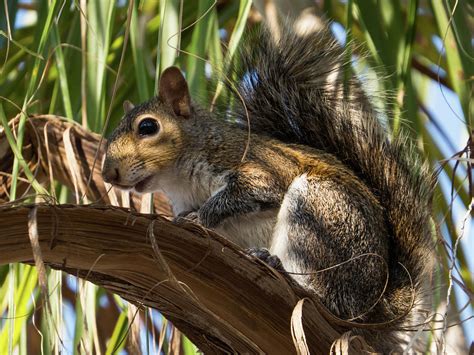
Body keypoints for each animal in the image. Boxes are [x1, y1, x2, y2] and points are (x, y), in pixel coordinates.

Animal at [102, 18, 436, 350]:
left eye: (148, 126)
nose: (108, 174)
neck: (181, 180)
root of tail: (374, 311)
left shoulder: (255, 166)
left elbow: (246, 192)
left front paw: (201, 216)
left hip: (319, 215)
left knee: (327, 301)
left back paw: (283, 270)